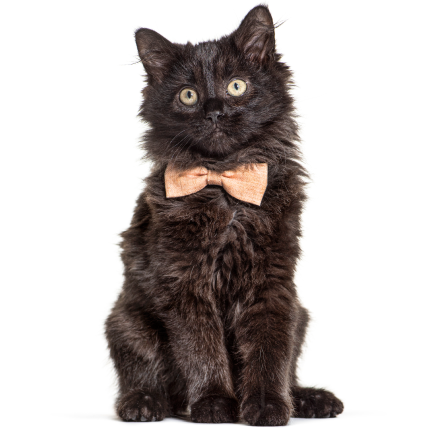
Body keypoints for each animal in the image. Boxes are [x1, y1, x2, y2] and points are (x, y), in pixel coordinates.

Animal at [106, 5, 344, 424]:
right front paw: (215, 402)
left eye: (236, 86)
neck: (224, 187)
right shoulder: (184, 280)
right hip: (126, 322)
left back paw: (308, 399)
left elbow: (270, 352)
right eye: (188, 95)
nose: (214, 112)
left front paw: (267, 405)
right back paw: (144, 402)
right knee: (143, 373)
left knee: (291, 369)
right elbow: (202, 348)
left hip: (300, 315)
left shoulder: (272, 281)